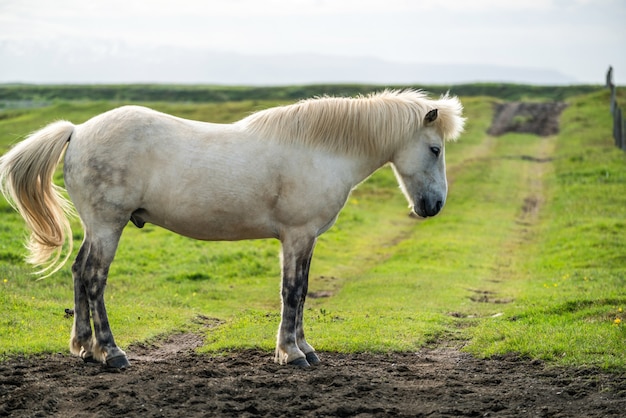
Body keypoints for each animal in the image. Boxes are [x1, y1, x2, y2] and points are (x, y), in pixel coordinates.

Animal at [1, 90, 464, 368]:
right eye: (434, 149)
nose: (434, 206)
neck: (319, 150)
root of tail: (77, 132)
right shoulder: (296, 236)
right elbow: (292, 291)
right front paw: (291, 353)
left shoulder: (305, 240)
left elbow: (302, 291)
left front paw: (304, 348)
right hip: (107, 226)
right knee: (95, 278)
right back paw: (111, 352)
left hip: (96, 228)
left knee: (79, 273)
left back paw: (84, 348)